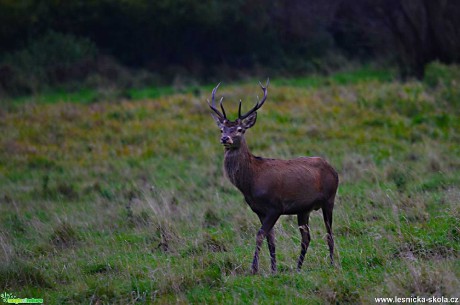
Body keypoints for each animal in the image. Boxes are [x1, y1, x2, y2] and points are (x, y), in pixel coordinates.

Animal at [208, 80, 338, 274]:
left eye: (240, 129)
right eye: (222, 129)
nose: (225, 139)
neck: (250, 183)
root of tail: (333, 169)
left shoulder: (275, 206)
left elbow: (260, 234)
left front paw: (254, 269)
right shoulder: (259, 210)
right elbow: (271, 240)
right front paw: (273, 269)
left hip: (329, 199)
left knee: (329, 233)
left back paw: (331, 263)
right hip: (304, 209)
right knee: (306, 237)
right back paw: (298, 267)